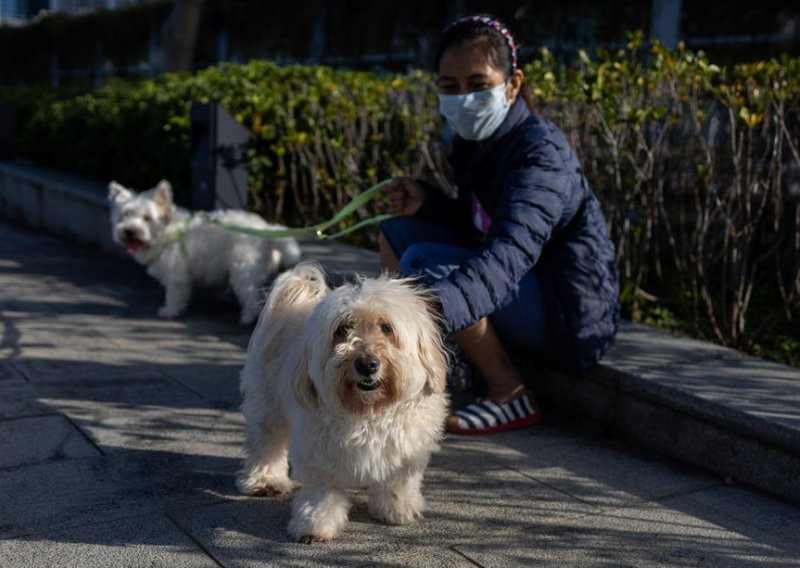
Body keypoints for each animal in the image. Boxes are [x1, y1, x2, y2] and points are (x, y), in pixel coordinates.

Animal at [108, 180, 302, 326]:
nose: (129, 231)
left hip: (243, 270)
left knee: (251, 296)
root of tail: (266, 229)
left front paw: (169, 311)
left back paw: (248, 318)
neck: (166, 232)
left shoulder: (177, 276)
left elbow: (173, 295)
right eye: (125, 215)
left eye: (147, 218)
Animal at [238, 264, 450, 544]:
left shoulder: (406, 450)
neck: (368, 411)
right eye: (342, 329)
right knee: (266, 443)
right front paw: (316, 524)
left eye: (386, 327)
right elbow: (322, 494)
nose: (367, 364)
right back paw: (265, 480)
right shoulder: (318, 452)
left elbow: (397, 482)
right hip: (267, 403)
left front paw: (397, 509)